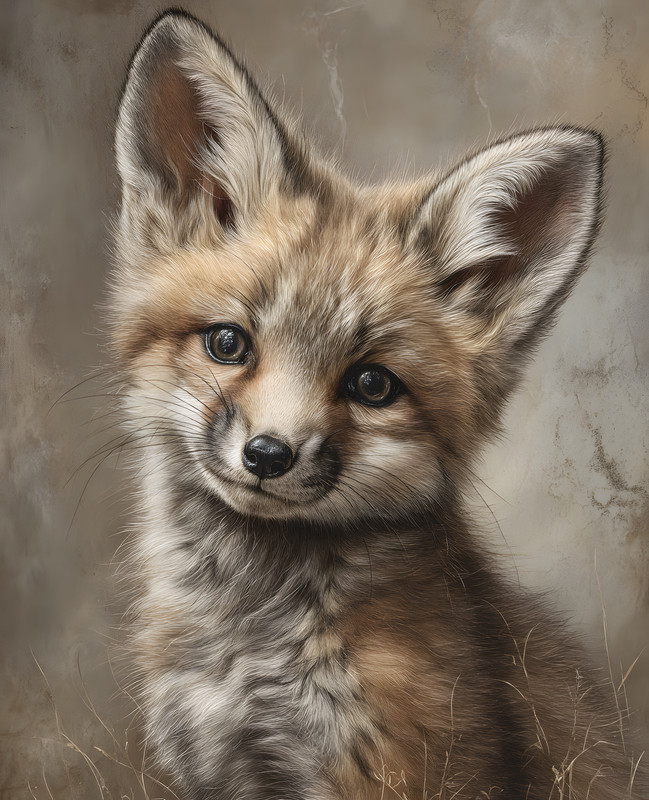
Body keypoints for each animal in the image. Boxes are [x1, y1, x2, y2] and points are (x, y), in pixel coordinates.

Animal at [110, 9, 646, 800]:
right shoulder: (216, 764)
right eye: (228, 343)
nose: (267, 455)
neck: (250, 645)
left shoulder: (398, 771)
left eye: (372, 385)